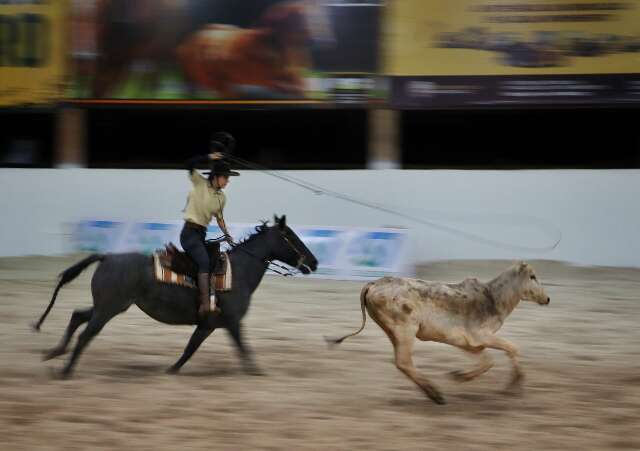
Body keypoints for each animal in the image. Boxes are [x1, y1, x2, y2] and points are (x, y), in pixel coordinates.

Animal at [32, 217, 318, 380]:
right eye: (290, 237)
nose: (314, 262)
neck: (239, 271)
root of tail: (106, 257)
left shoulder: (208, 325)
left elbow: (190, 348)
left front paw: (171, 370)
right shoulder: (233, 322)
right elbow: (243, 349)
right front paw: (256, 371)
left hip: (106, 306)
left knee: (77, 316)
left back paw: (54, 353)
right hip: (109, 309)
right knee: (85, 334)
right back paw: (65, 371)